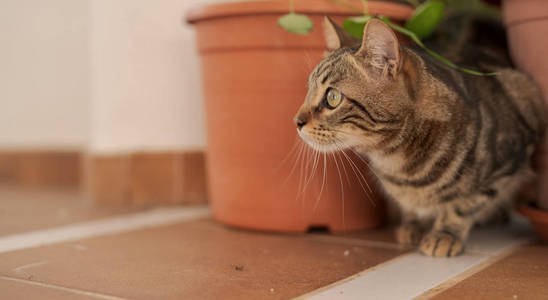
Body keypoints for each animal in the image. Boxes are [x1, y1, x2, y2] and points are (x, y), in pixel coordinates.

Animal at [298, 16, 544, 256]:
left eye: (333, 97)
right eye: (308, 91)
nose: (296, 121)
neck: (396, 163)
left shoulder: (508, 162)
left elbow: (465, 205)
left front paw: (444, 234)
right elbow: (410, 207)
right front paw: (411, 225)